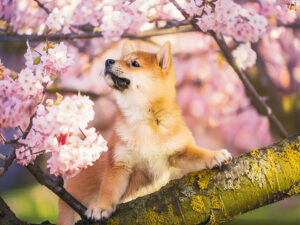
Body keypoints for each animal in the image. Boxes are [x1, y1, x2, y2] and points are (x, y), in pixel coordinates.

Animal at [58, 40, 232, 225]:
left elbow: (198, 154)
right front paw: (100, 208)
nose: (108, 61)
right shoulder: (119, 164)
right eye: (121, 59)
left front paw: (215, 155)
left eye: (134, 63)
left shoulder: (178, 153)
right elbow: (108, 189)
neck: (143, 118)